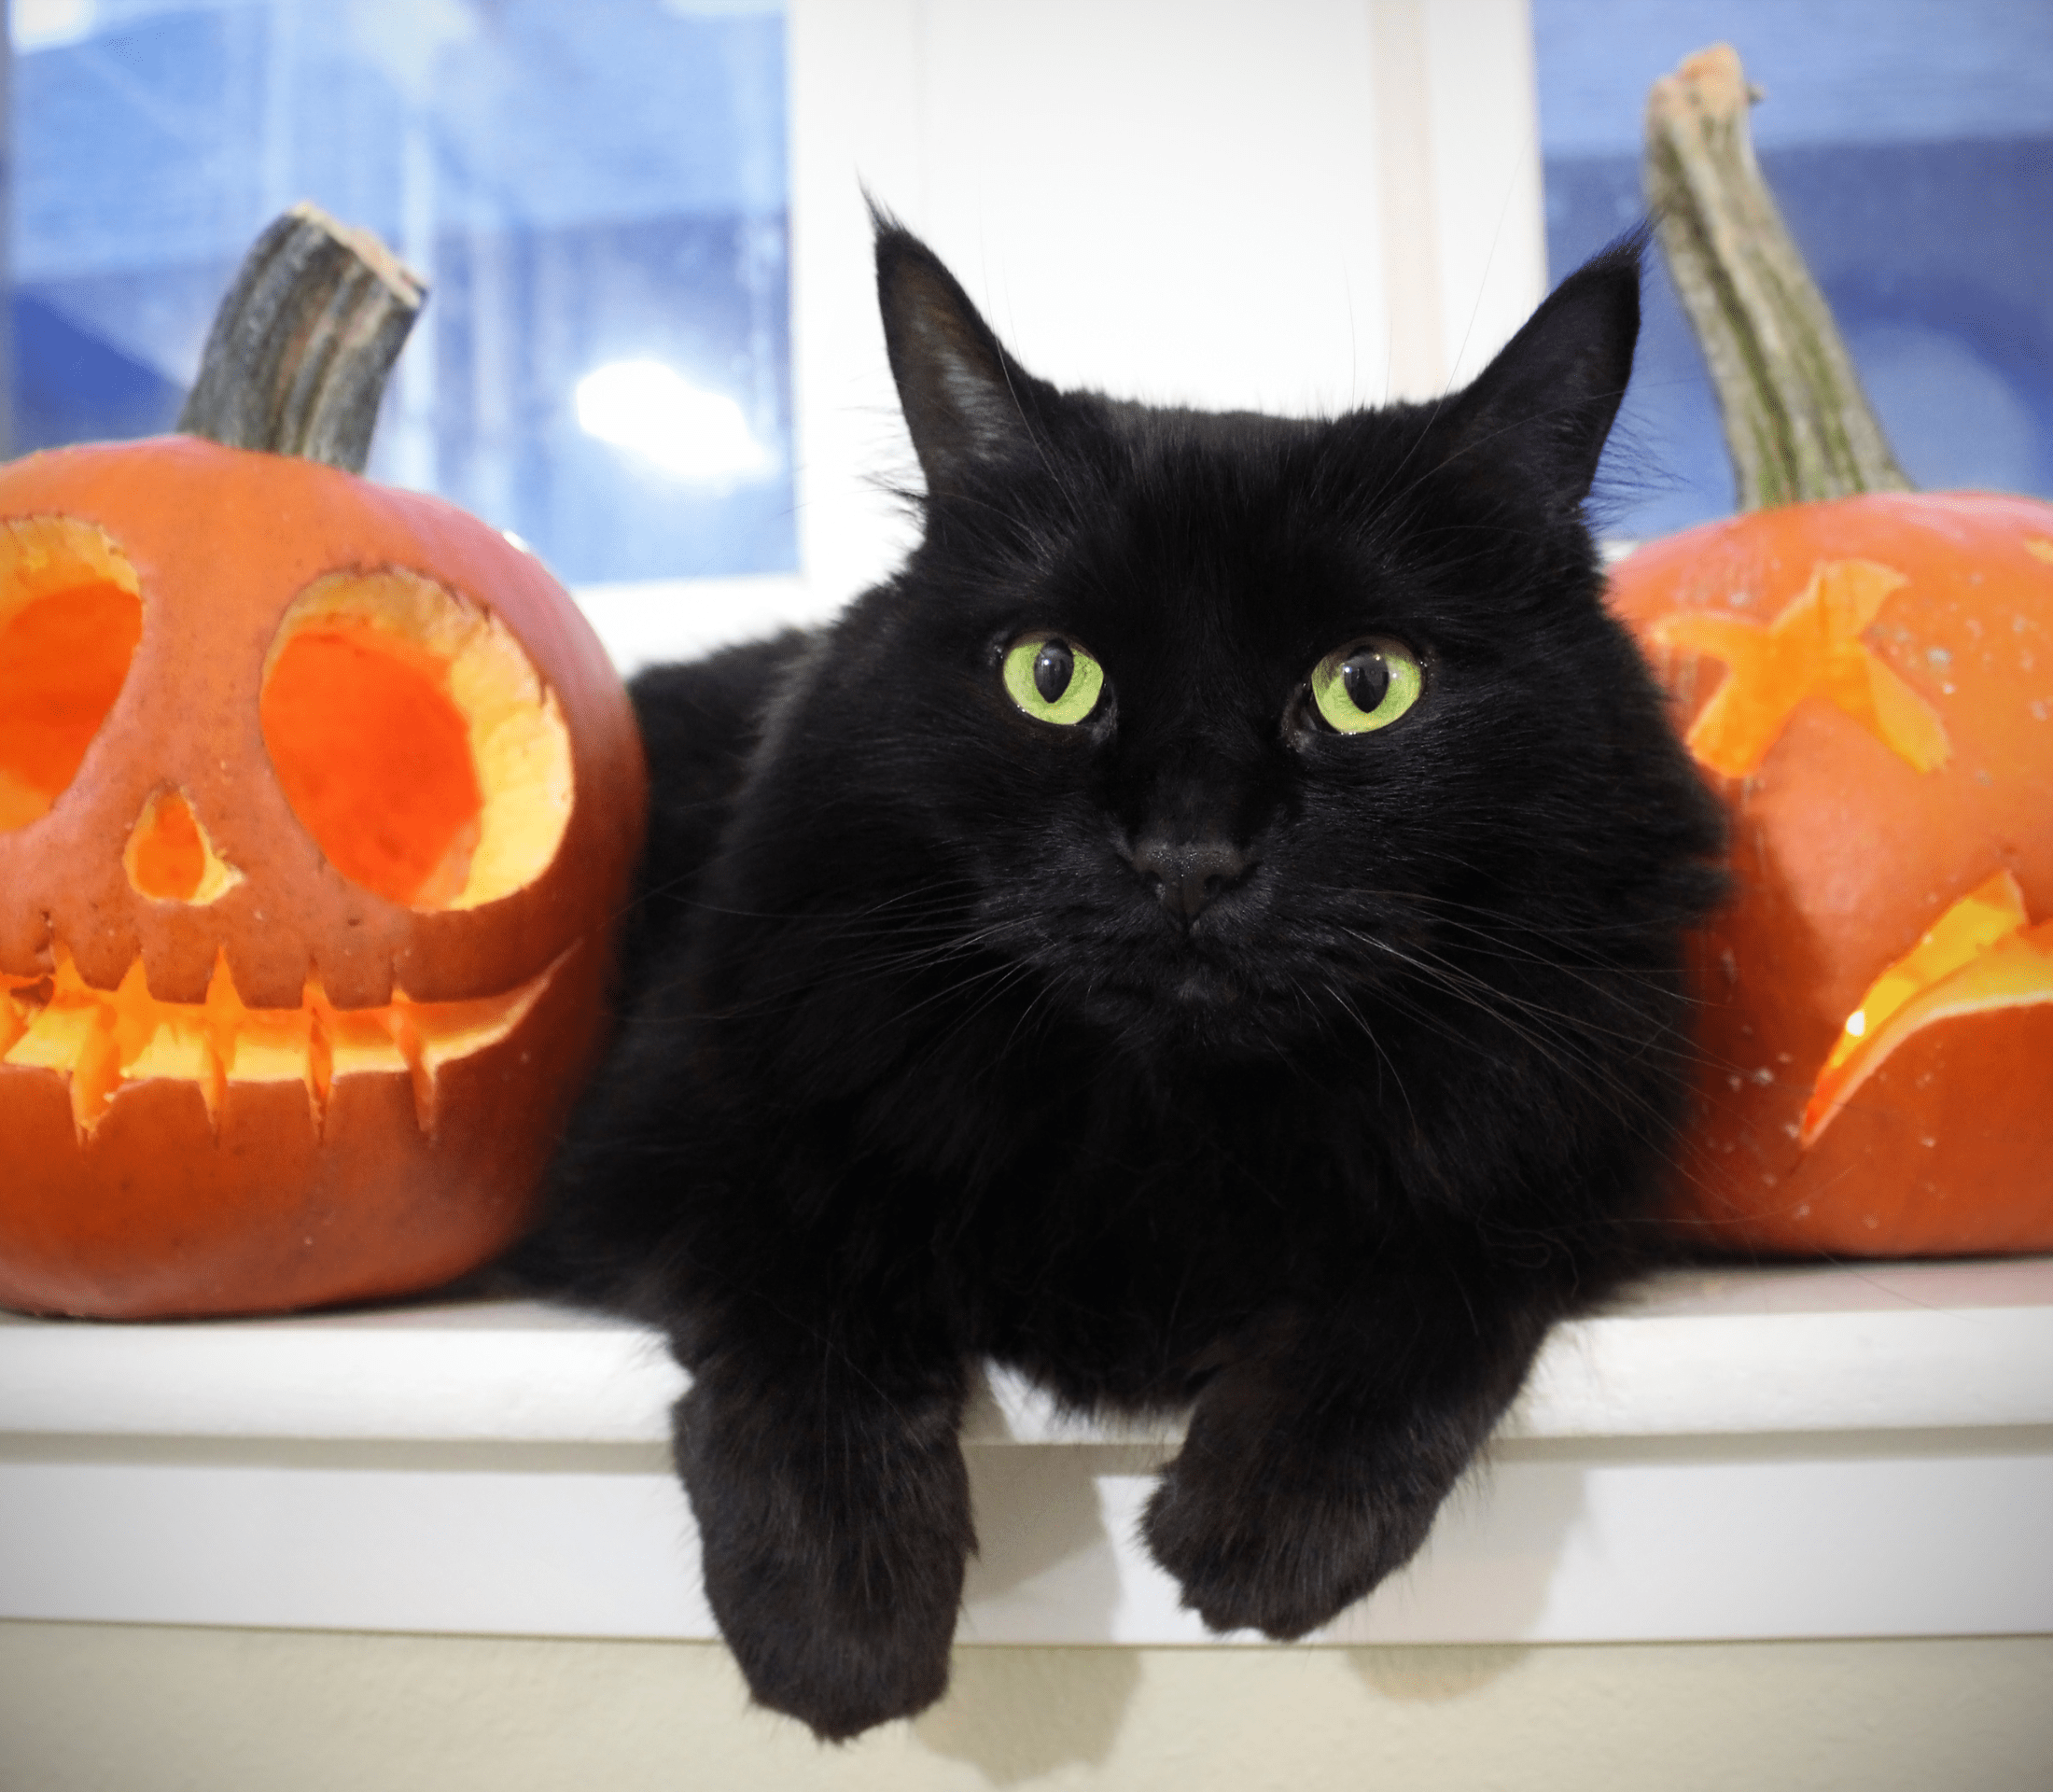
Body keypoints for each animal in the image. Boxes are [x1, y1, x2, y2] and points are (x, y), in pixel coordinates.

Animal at [521, 213, 1725, 1732]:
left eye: (1367, 685)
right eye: (1052, 675)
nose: (1188, 856)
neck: (1164, 1119)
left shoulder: (1572, 1135)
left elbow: (1439, 1256)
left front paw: (1269, 1528)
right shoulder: (675, 1134)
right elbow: (803, 1292)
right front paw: (844, 1620)